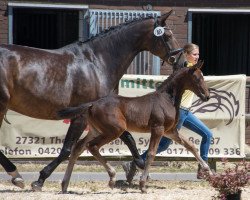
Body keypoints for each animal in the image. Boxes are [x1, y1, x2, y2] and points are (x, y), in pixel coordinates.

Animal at [0, 9, 186, 191]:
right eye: (167, 36)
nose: (183, 63)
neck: (97, 63)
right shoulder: (82, 116)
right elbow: (67, 149)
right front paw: (40, 179)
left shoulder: (110, 112)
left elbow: (128, 137)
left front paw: (137, 166)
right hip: (2, 105)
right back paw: (17, 176)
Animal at [58, 60, 211, 193]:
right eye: (197, 78)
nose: (207, 96)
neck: (167, 100)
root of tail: (92, 104)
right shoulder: (158, 128)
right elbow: (151, 153)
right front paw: (143, 185)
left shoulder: (170, 131)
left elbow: (191, 146)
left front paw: (208, 170)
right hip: (115, 130)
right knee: (92, 146)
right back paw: (112, 177)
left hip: (96, 130)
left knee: (78, 147)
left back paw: (65, 185)